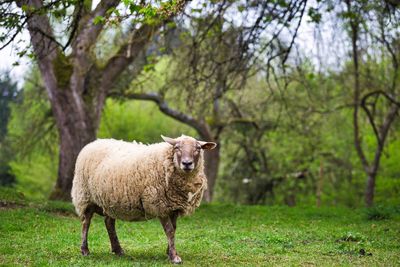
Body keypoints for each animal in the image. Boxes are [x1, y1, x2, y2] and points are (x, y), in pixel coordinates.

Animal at [71, 135, 216, 264]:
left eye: (198, 148)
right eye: (176, 148)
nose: (187, 163)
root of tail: (93, 142)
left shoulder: (174, 207)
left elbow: (174, 229)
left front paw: (169, 252)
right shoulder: (159, 205)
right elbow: (169, 231)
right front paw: (174, 257)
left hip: (110, 200)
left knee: (109, 223)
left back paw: (118, 250)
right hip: (85, 196)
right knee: (86, 222)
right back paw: (85, 250)